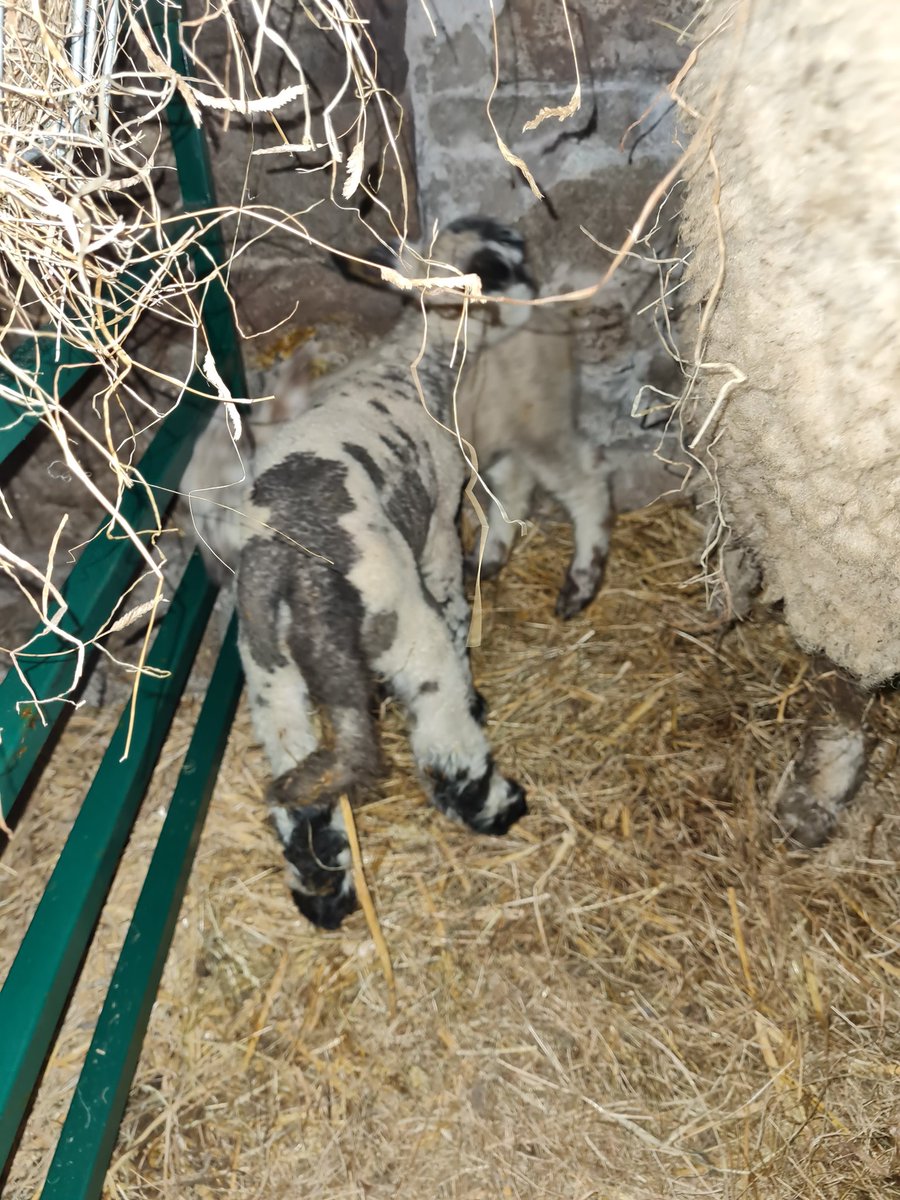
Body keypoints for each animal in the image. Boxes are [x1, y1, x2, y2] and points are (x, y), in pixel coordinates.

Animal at [236, 217, 534, 929]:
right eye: (507, 262)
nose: (538, 291)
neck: (411, 363)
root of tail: (300, 573)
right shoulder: (440, 525)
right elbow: (456, 606)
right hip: (399, 622)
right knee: (446, 735)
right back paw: (497, 805)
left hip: (269, 676)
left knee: (299, 788)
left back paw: (325, 895)